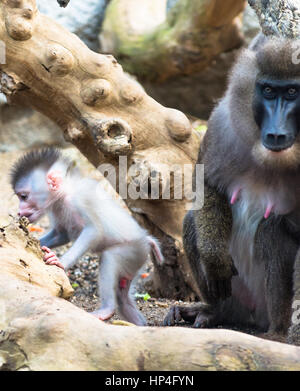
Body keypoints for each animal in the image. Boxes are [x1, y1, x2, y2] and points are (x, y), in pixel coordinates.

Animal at [10, 149, 163, 326]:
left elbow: (94, 230)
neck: (66, 194)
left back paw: (106, 310)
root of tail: (145, 239)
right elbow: (61, 234)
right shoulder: (56, 208)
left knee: (110, 258)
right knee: (122, 296)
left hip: (133, 250)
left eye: (23, 196)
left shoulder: (81, 199)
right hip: (135, 261)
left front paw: (59, 261)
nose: (19, 211)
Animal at [164, 36, 300, 336]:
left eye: (293, 92)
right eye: (268, 90)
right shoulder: (221, 126)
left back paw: (277, 332)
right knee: (191, 221)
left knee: (272, 230)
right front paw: (214, 259)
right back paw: (213, 311)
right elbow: (208, 185)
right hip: (234, 293)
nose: (276, 133)